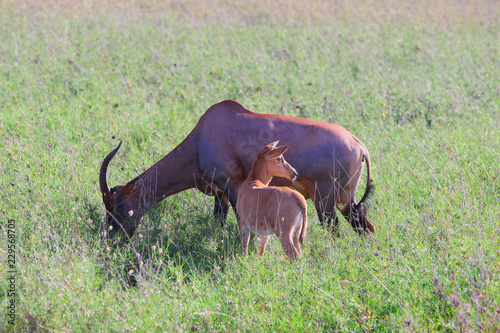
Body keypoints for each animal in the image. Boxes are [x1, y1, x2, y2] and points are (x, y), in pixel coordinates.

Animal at [99, 98, 374, 236]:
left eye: (116, 206)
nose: (115, 238)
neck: (202, 137)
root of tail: (360, 146)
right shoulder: (219, 193)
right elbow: (217, 222)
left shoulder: (233, 185)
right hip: (345, 199)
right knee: (364, 227)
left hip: (325, 200)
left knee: (335, 230)